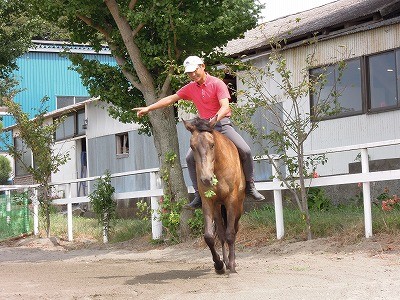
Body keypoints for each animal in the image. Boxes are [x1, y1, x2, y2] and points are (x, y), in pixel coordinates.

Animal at [183, 116, 245, 274]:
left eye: (212, 145)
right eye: (192, 146)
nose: (206, 179)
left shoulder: (231, 201)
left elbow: (230, 234)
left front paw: (232, 265)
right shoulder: (208, 202)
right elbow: (210, 237)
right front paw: (219, 264)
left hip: (238, 206)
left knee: (234, 230)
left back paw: (232, 262)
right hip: (217, 208)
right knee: (221, 234)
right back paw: (225, 262)